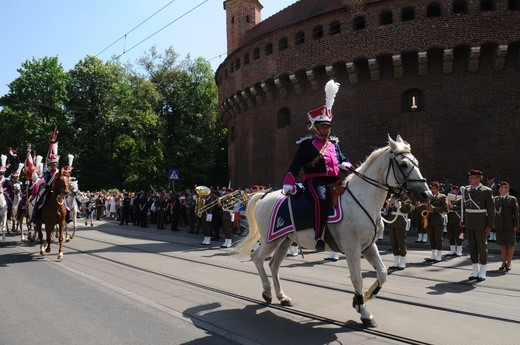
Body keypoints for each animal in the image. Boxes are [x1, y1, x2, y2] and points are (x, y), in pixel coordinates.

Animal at [235, 134, 430, 326]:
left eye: (417, 162)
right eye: (403, 164)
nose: (426, 194)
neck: (362, 199)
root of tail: (266, 195)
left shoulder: (368, 246)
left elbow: (382, 273)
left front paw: (364, 298)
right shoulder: (352, 248)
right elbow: (357, 278)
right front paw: (364, 312)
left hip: (285, 240)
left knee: (273, 265)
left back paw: (282, 297)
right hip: (271, 240)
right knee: (257, 258)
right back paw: (267, 293)